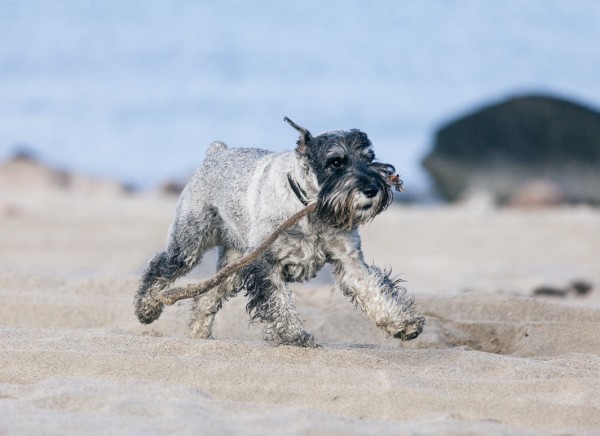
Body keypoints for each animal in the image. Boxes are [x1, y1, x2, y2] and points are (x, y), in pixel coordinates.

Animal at [135, 116, 426, 348]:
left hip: (233, 264)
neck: (309, 208)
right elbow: (278, 302)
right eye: (335, 162)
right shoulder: (265, 265)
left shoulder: (349, 260)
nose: (372, 188)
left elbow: (374, 288)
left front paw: (402, 322)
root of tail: (216, 152)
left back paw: (199, 335)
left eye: (370, 158)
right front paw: (293, 336)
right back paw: (146, 309)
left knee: (207, 297)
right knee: (158, 269)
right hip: (189, 244)